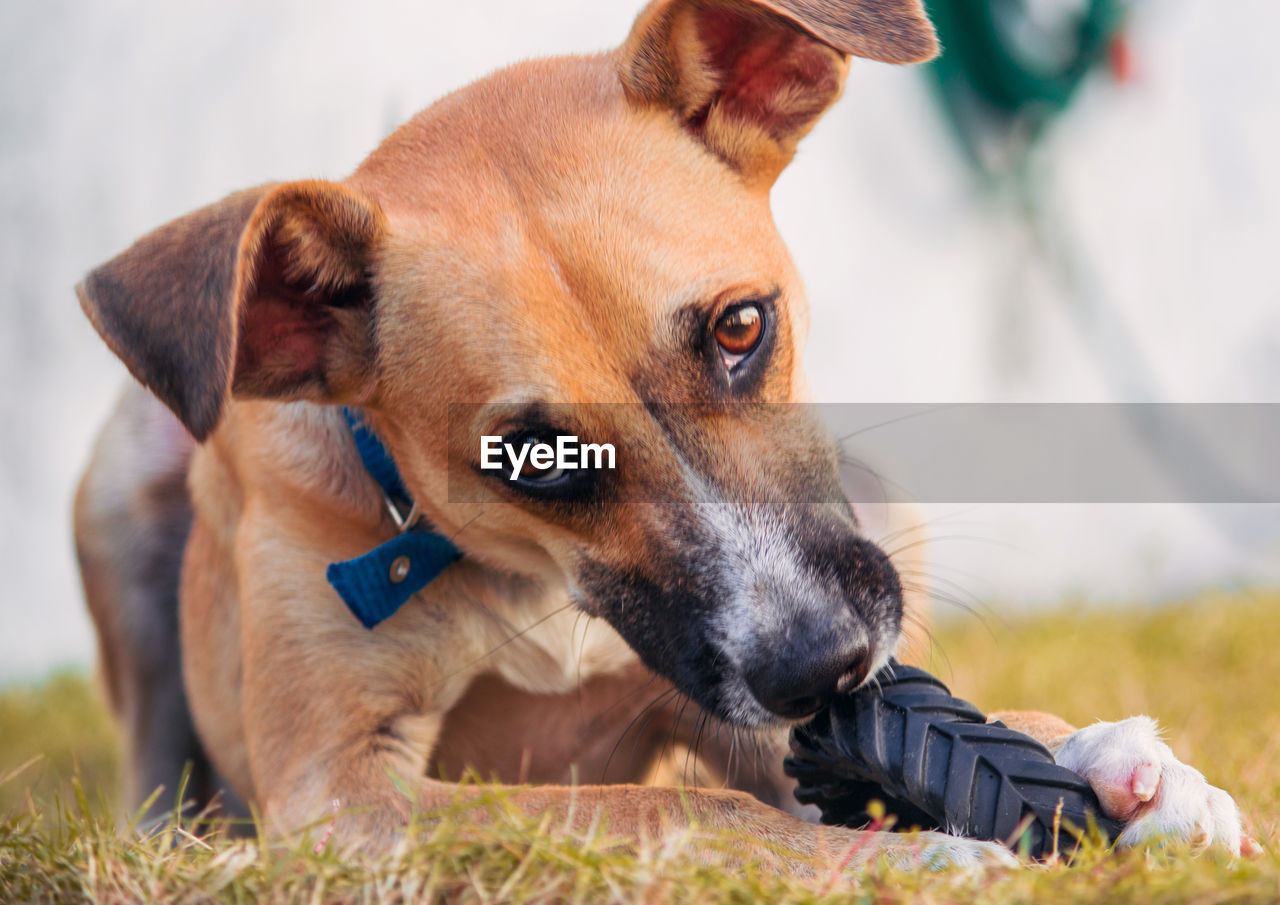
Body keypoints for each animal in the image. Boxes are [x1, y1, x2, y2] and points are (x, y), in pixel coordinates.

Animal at [72, 0, 1249, 870]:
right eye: (532, 459)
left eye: (740, 326)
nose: (825, 667)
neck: (536, 586)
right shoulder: (342, 787)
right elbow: (676, 810)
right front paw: (918, 857)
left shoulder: (748, 716)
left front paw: (1097, 756)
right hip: (121, 487)